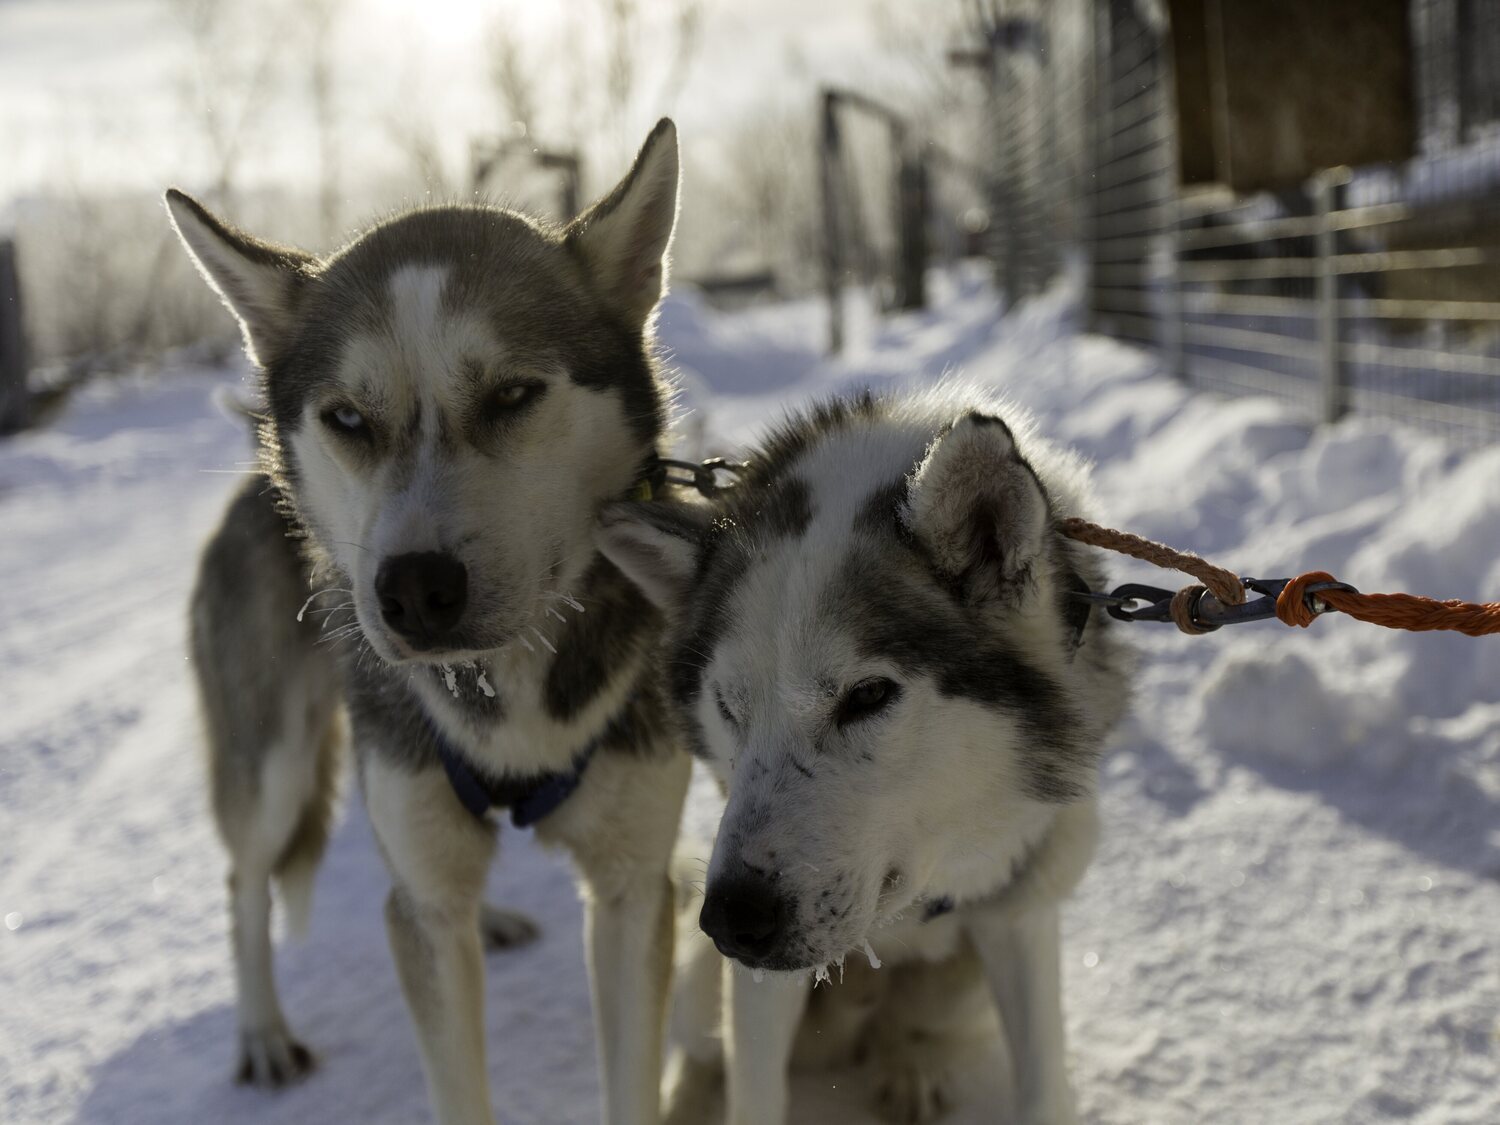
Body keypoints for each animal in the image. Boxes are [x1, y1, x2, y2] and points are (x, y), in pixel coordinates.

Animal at [168, 123, 690, 1125]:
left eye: (514, 394)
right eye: (346, 417)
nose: (411, 590)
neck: (508, 688)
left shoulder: (634, 887)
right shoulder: (423, 906)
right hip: (276, 760)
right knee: (248, 878)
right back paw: (262, 1032)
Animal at [597, 390, 1128, 1125]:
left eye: (868, 695)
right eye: (729, 706)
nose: (733, 919)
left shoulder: (1019, 912)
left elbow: (1045, 1086)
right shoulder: (756, 981)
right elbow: (752, 1092)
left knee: (908, 1028)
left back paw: (910, 1065)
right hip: (702, 980)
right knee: (705, 1053)